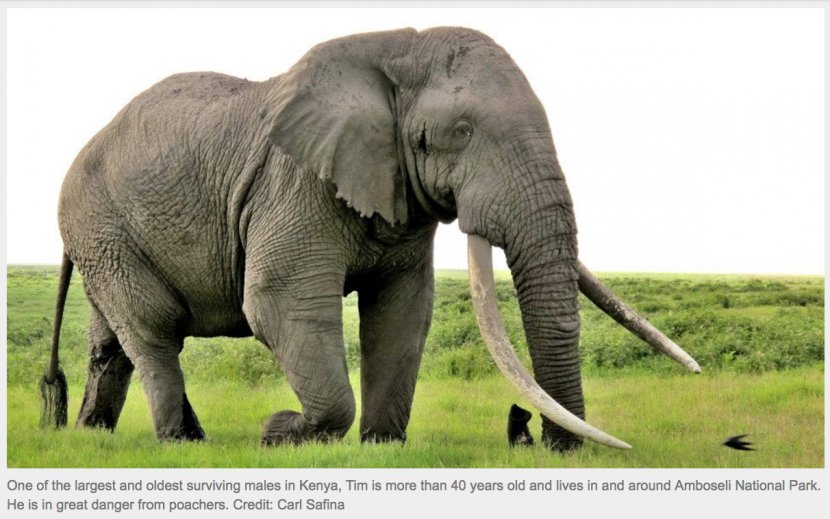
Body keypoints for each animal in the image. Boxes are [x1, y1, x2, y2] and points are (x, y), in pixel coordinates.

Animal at [40, 27, 704, 450]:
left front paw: (383, 446)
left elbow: (403, 313)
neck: (395, 50)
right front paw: (281, 433)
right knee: (153, 330)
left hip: (107, 237)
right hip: (102, 226)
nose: (532, 435)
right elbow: (280, 303)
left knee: (111, 343)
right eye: (459, 132)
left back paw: (96, 435)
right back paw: (182, 443)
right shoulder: (295, 182)